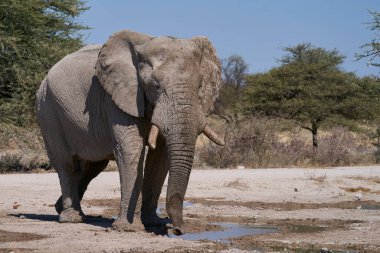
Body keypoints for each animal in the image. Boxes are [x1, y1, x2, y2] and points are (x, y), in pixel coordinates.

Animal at [35, 30, 223, 235]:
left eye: (199, 87)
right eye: (155, 86)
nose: (177, 230)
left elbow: (160, 158)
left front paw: (154, 223)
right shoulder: (116, 97)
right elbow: (131, 149)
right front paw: (128, 228)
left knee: (93, 166)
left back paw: (60, 207)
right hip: (48, 110)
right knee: (66, 164)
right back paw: (71, 218)